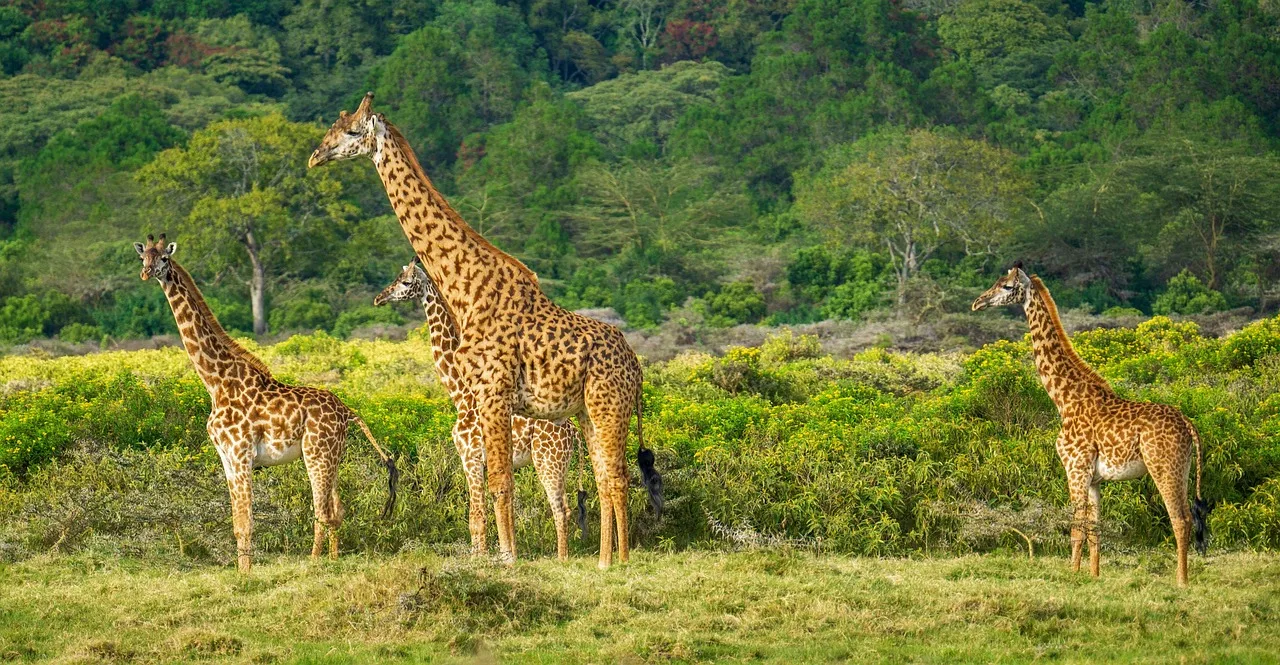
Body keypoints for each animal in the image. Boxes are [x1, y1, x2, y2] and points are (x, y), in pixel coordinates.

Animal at [134, 234, 398, 572]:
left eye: (164, 259)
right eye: (143, 258)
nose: (147, 273)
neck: (217, 382)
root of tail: (349, 412)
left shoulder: (241, 453)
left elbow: (246, 522)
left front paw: (246, 573)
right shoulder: (227, 458)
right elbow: (236, 522)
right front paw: (240, 570)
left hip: (317, 453)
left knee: (323, 511)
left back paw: (314, 563)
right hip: (333, 456)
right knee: (337, 510)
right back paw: (333, 560)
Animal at [373, 259, 587, 559]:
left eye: (405, 282)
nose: (379, 298)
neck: (461, 394)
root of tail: (573, 432)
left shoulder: (470, 457)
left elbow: (476, 515)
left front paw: (480, 559)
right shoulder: (480, 463)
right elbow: (485, 512)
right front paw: (486, 555)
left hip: (548, 460)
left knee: (561, 508)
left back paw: (562, 559)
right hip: (557, 461)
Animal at [972, 263, 1210, 586]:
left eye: (1007, 286)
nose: (978, 302)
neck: (1064, 399)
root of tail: (1188, 423)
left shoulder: (1075, 467)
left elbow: (1076, 528)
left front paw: (1072, 575)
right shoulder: (1095, 478)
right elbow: (1095, 530)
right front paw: (1094, 577)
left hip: (1163, 467)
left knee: (1181, 520)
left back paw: (1181, 581)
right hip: (1183, 469)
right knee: (1187, 516)